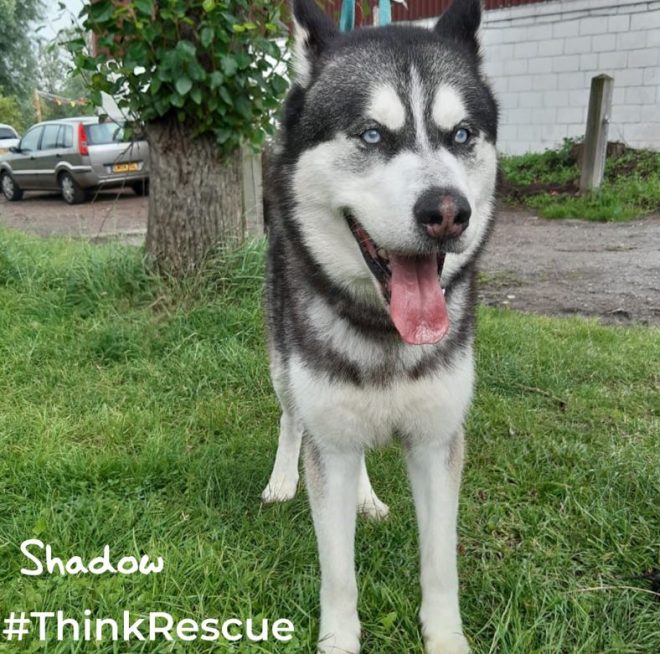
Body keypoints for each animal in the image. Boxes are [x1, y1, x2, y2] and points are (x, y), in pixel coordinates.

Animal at [261, 1, 498, 652]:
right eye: (371, 134)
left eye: (461, 135)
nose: (447, 212)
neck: (387, 332)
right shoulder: (331, 443)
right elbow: (338, 574)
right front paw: (339, 640)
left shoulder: (439, 442)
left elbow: (440, 564)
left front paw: (446, 639)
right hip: (282, 361)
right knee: (292, 417)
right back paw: (282, 480)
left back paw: (366, 496)